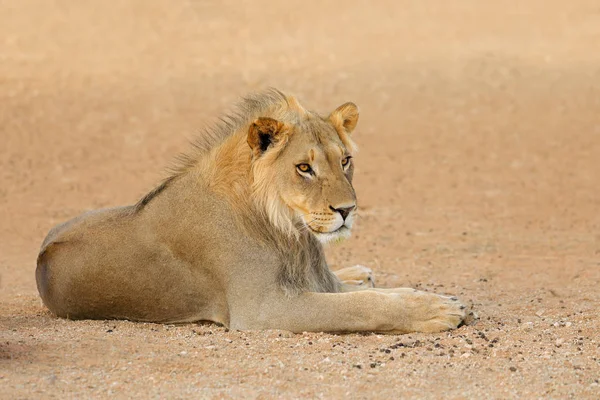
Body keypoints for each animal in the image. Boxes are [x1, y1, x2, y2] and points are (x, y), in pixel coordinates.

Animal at [35, 89, 468, 332]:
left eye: (344, 161)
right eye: (304, 168)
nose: (347, 210)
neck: (291, 233)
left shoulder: (309, 281)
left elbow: (369, 294)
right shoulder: (264, 309)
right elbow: (358, 307)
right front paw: (436, 309)